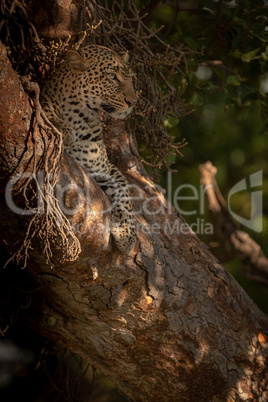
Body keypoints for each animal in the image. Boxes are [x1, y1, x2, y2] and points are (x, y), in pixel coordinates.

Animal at [40, 44, 139, 253]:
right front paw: (63, 129)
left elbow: (124, 191)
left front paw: (127, 236)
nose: (133, 102)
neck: (80, 117)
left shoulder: (104, 169)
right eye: (112, 77)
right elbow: (46, 111)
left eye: (130, 78)